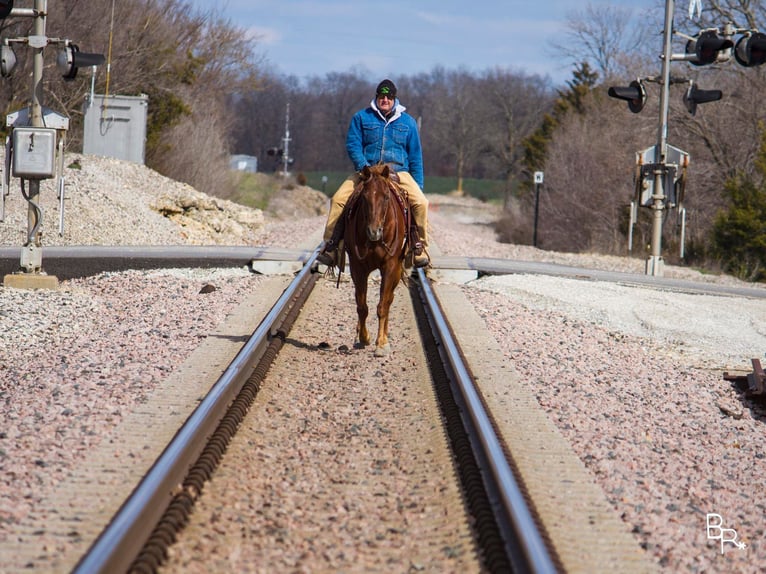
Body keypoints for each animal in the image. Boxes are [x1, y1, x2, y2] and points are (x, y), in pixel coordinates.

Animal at [344, 164, 412, 358]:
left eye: (386, 196)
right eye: (364, 197)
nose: (374, 232)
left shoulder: (390, 266)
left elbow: (382, 305)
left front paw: (381, 344)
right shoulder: (357, 267)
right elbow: (361, 306)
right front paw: (363, 337)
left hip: (396, 271)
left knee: (389, 300)